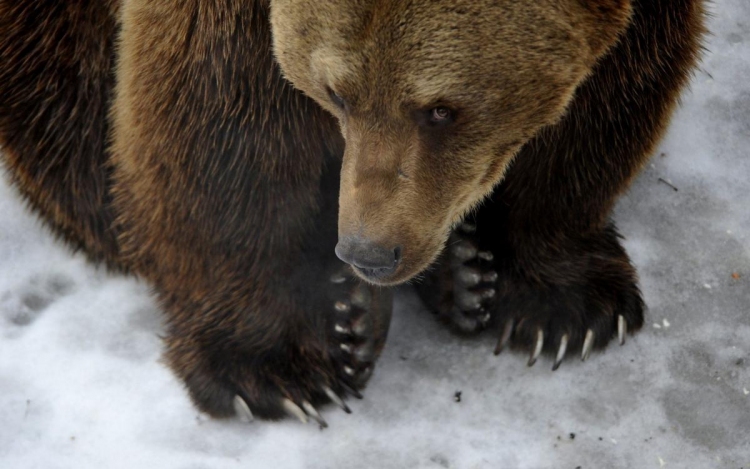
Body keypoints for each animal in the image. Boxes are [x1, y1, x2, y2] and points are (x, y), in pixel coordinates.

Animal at [0, 0, 704, 424]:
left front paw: (557, 307)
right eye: (336, 92)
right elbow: (218, 119)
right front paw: (281, 364)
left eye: (440, 109)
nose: (369, 251)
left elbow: (607, 92)